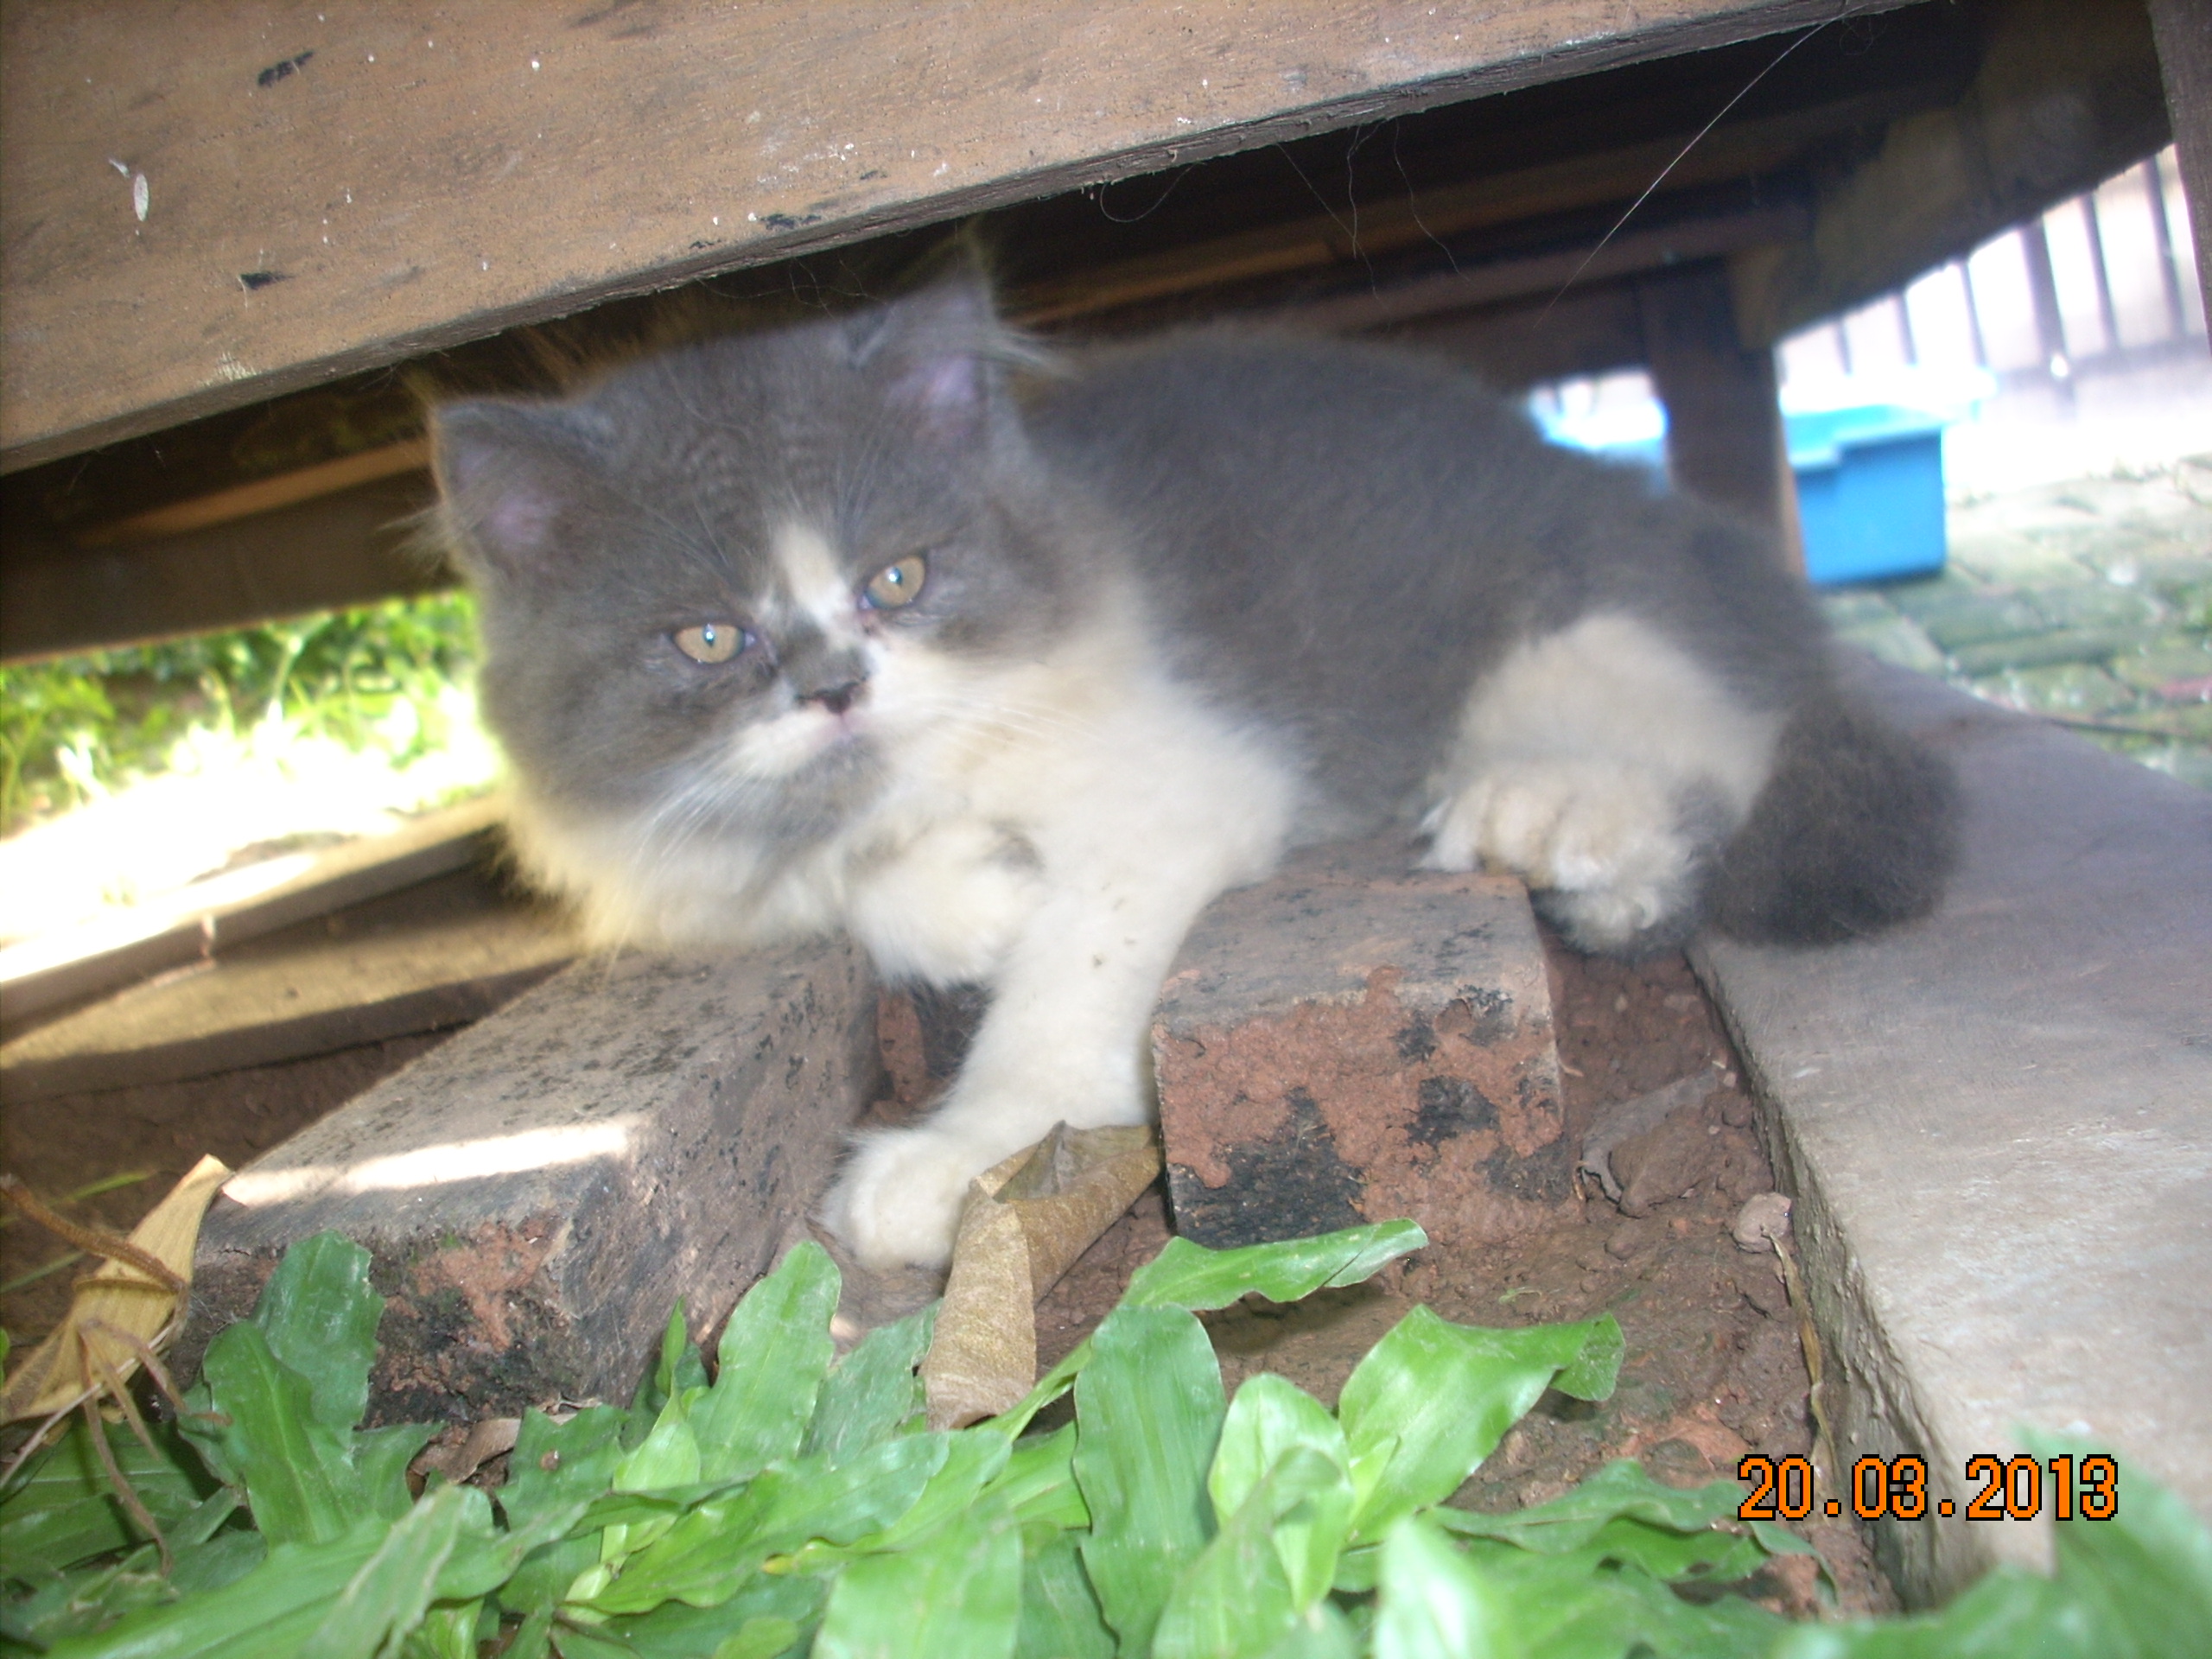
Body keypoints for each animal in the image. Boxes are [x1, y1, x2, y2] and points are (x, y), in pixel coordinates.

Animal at [431, 273, 1955, 1274]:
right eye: (709, 637)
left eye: (898, 579)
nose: (836, 688)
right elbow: (849, 876)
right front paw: (973, 898)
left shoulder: (1179, 780)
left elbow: (1061, 994)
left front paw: (953, 1158)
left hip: (1567, 636)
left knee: (1712, 744)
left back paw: (1553, 821)